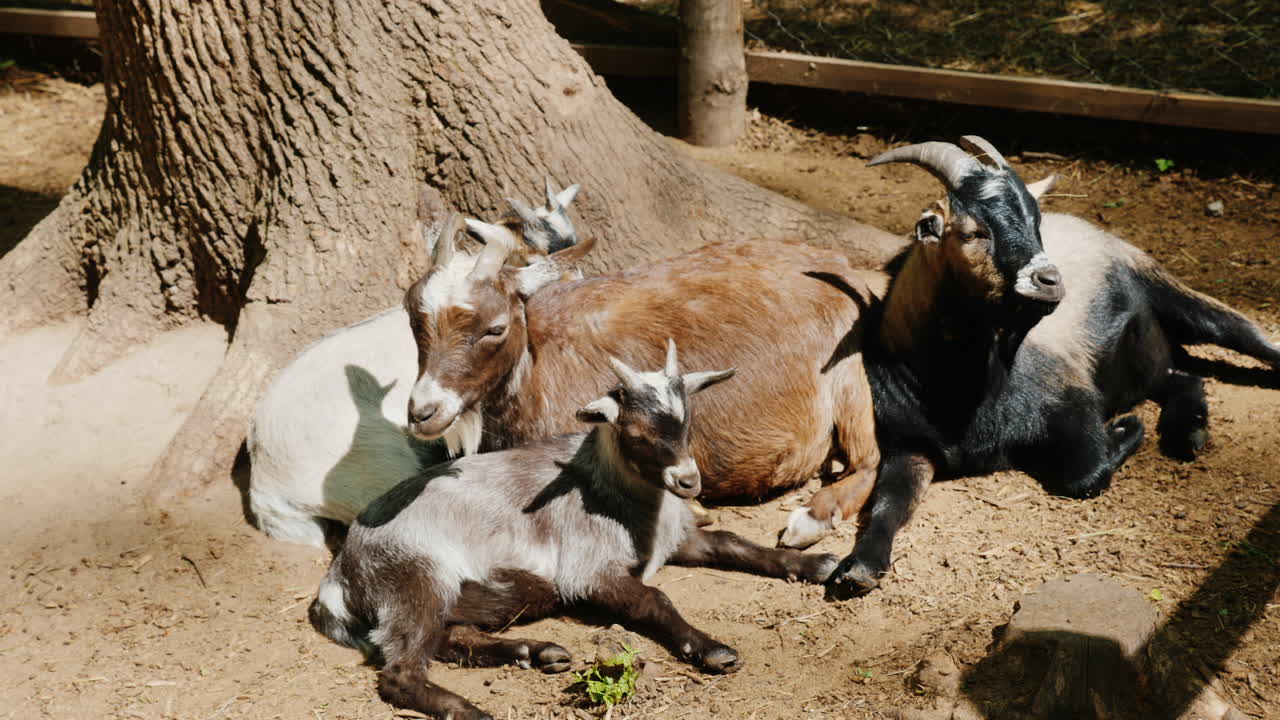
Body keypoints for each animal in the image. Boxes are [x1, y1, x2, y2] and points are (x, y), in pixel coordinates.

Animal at [308, 341, 839, 720]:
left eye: (688, 421)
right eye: (636, 432)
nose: (689, 481)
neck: (614, 493)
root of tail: (342, 571)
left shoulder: (681, 539)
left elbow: (734, 543)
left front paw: (817, 563)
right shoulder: (590, 571)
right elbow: (654, 599)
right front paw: (712, 649)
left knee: (451, 638)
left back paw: (538, 652)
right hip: (416, 578)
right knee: (400, 670)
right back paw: (472, 710)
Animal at [403, 218, 882, 549]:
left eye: (495, 328)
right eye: (413, 315)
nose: (422, 412)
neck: (539, 365)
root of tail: (840, 266)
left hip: (850, 378)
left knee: (868, 460)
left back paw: (809, 520)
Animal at [826, 136, 1280, 598]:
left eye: (1035, 222)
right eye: (973, 231)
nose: (1050, 280)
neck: (964, 392)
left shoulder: (1072, 401)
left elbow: (1086, 475)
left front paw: (1127, 427)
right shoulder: (909, 445)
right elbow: (888, 503)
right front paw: (859, 566)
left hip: (1168, 290)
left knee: (1244, 334)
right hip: (1149, 359)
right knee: (1184, 376)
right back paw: (1187, 434)